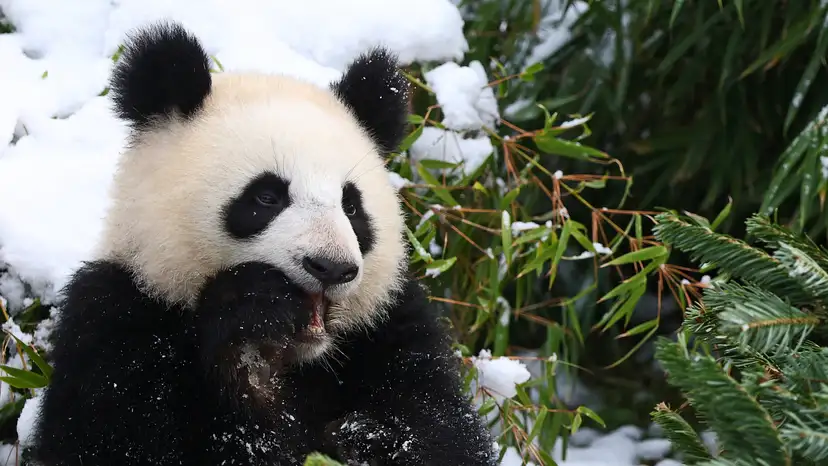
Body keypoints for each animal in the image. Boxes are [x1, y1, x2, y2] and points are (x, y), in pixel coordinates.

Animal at [26, 21, 497, 466]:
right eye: (267, 197)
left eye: (351, 205)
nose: (331, 267)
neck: (300, 358)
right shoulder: (118, 322)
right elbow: (117, 441)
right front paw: (251, 328)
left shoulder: (393, 330)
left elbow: (436, 434)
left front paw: (364, 436)